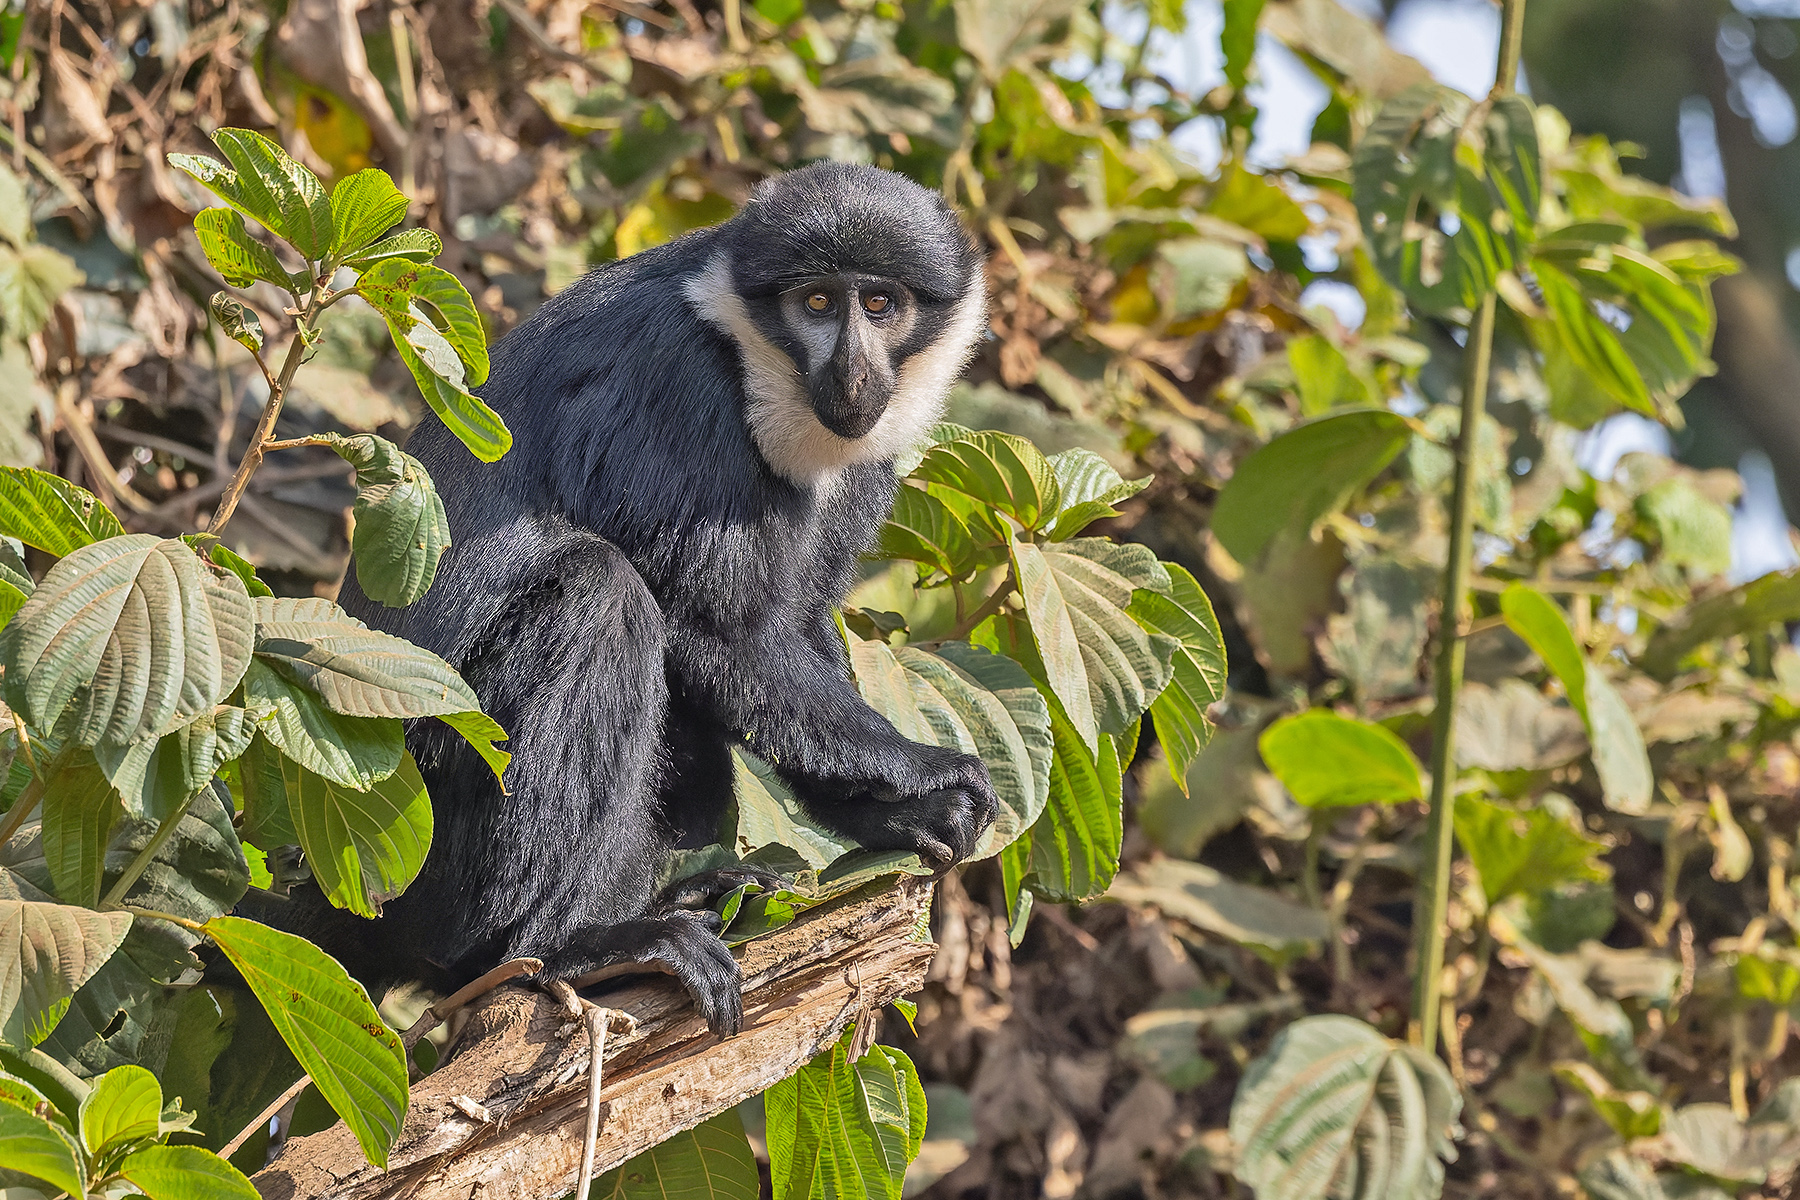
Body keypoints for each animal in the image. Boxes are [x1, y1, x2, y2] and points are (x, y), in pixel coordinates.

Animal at [274, 163, 999, 1037]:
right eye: (819, 304)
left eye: (882, 304)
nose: (853, 371)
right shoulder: (676, 387)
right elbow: (714, 628)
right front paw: (924, 770)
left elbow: (792, 623)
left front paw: (889, 818)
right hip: (420, 830)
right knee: (601, 593)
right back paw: (565, 946)